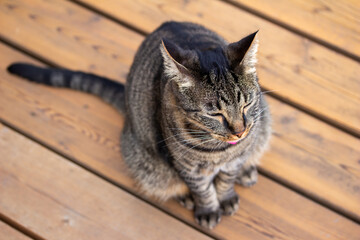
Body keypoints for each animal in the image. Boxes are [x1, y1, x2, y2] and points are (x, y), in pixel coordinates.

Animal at [8, 21, 270, 229]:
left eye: (247, 103)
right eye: (215, 113)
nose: (240, 131)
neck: (219, 150)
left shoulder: (236, 156)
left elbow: (226, 179)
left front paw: (226, 196)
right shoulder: (186, 167)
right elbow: (203, 190)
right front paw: (208, 208)